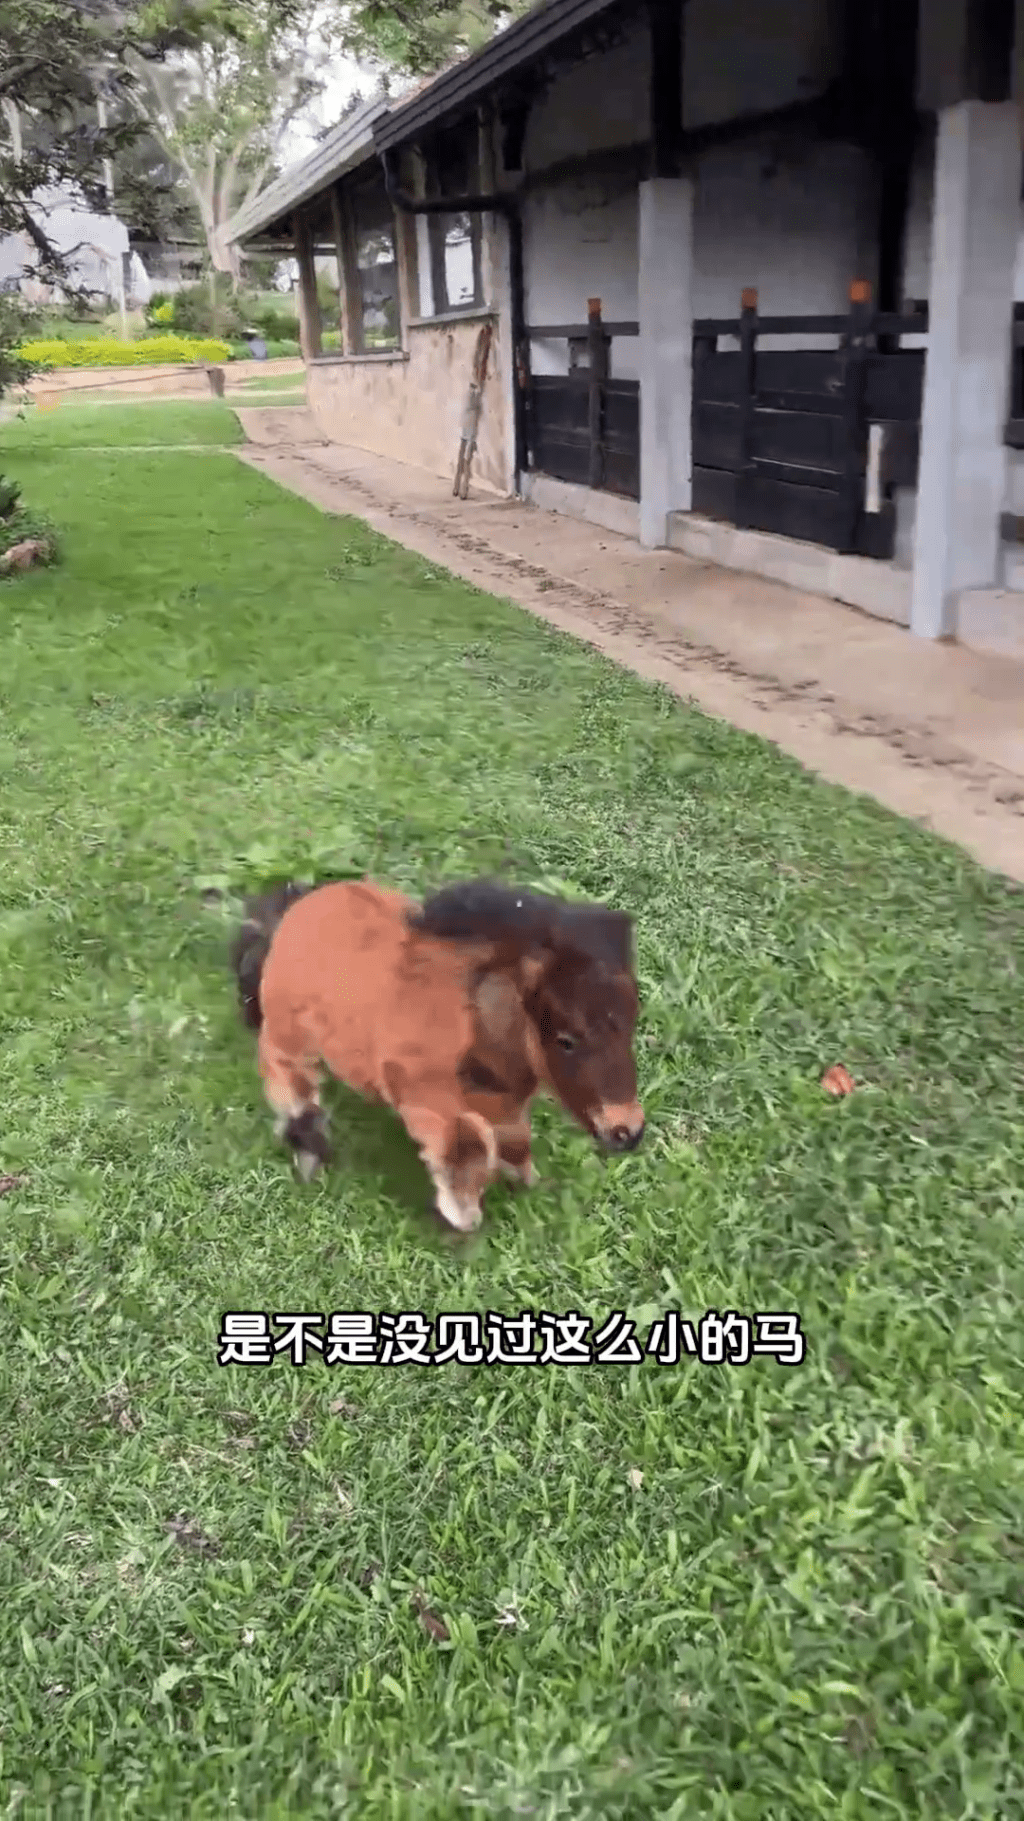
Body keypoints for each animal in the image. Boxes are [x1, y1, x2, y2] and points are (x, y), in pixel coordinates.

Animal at [230, 876, 644, 1233]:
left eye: (631, 1022)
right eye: (566, 1039)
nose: (628, 1132)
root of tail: (292, 912)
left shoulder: (506, 1104)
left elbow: (514, 1142)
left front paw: (528, 1185)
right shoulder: (425, 1101)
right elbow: (469, 1143)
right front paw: (463, 1216)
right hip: (288, 1036)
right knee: (287, 1076)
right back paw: (309, 1147)